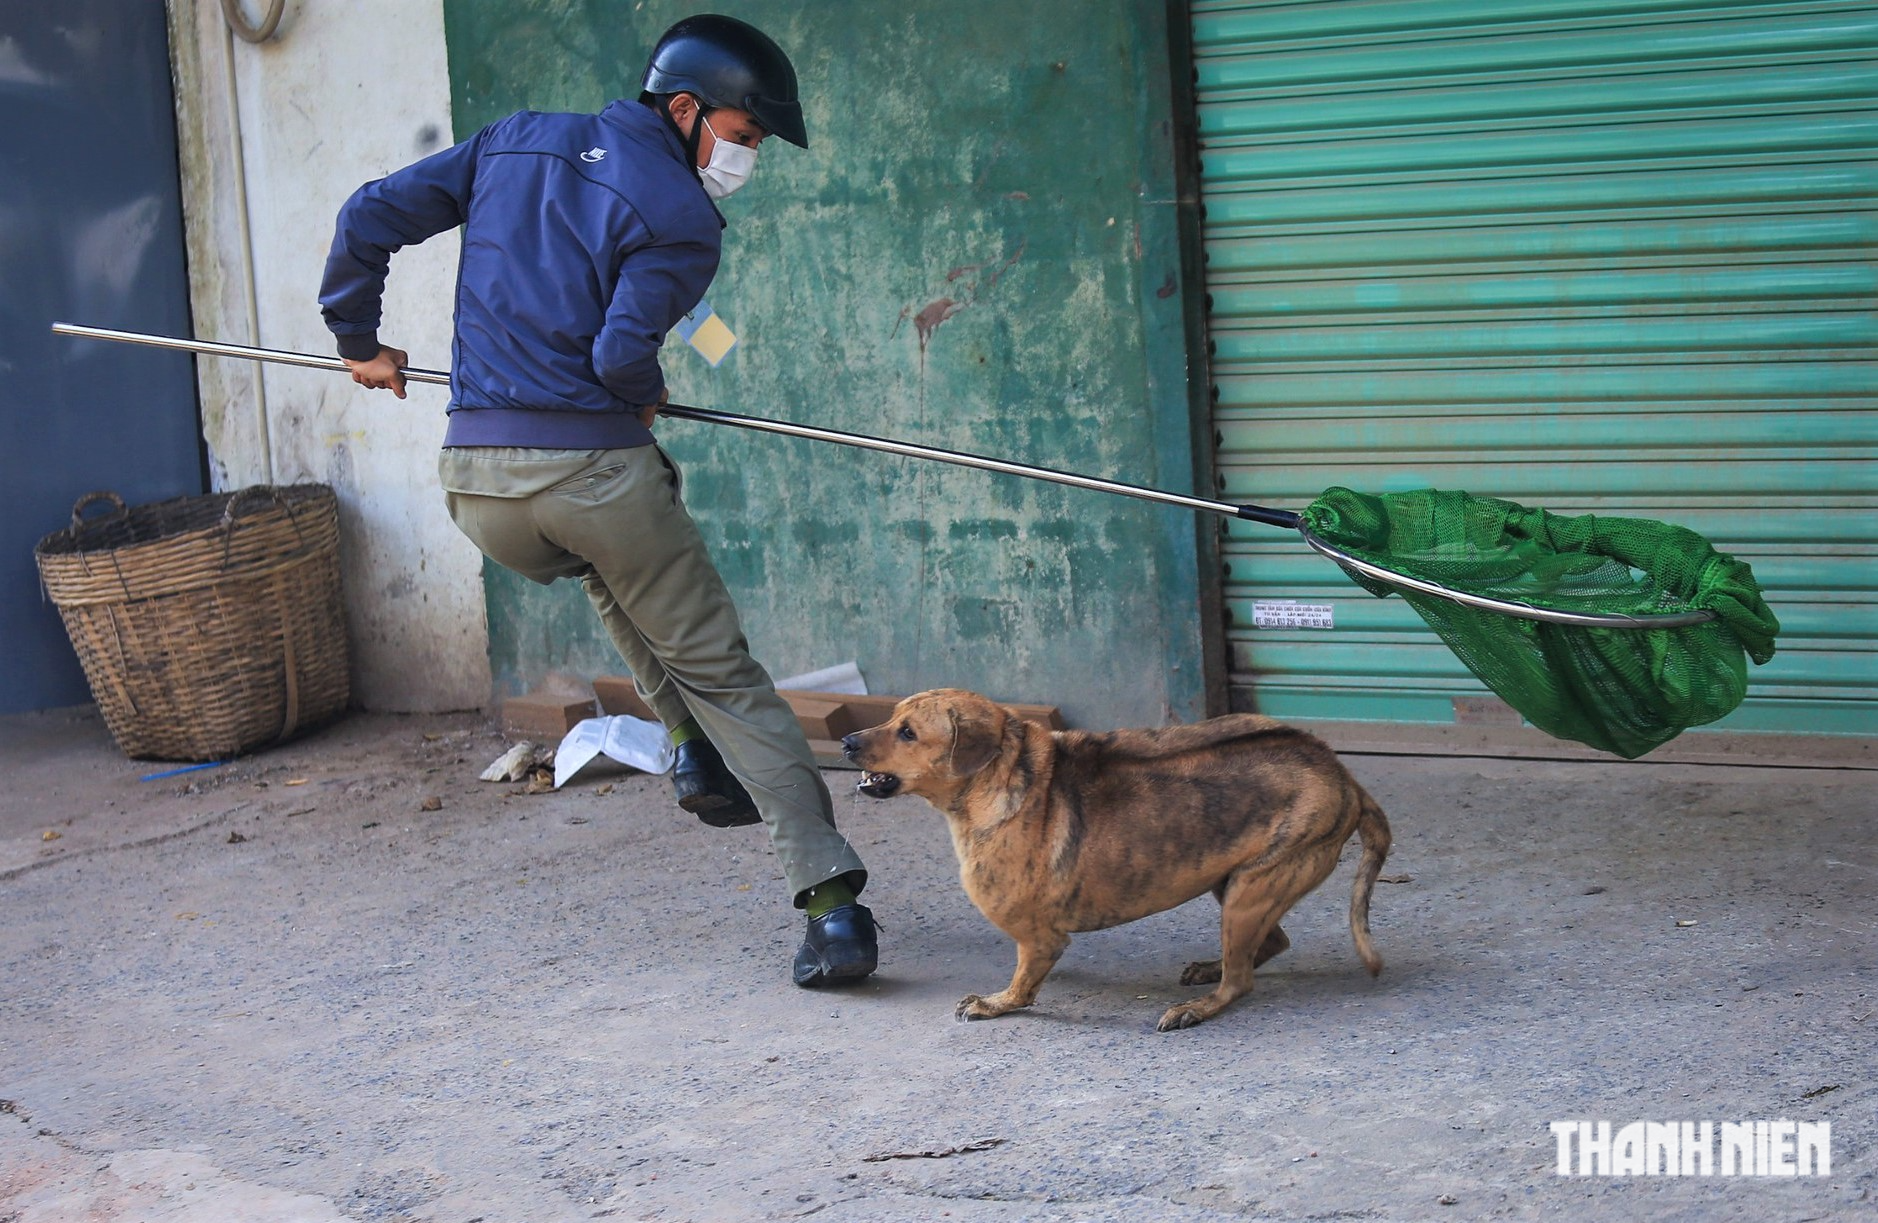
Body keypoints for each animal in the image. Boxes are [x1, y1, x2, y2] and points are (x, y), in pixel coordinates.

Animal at [845, 695, 1389, 1029]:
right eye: (891, 718)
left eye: (909, 733)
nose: (848, 742)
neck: (1002, 774)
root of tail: (1344, 777)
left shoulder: (1041, 939)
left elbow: (1022, 987)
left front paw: (995, 1004)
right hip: (1235, 881)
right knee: (1272, 943)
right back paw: (1210, 969)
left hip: (1251, 892)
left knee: (1241, 982)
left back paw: (1197, 1007)